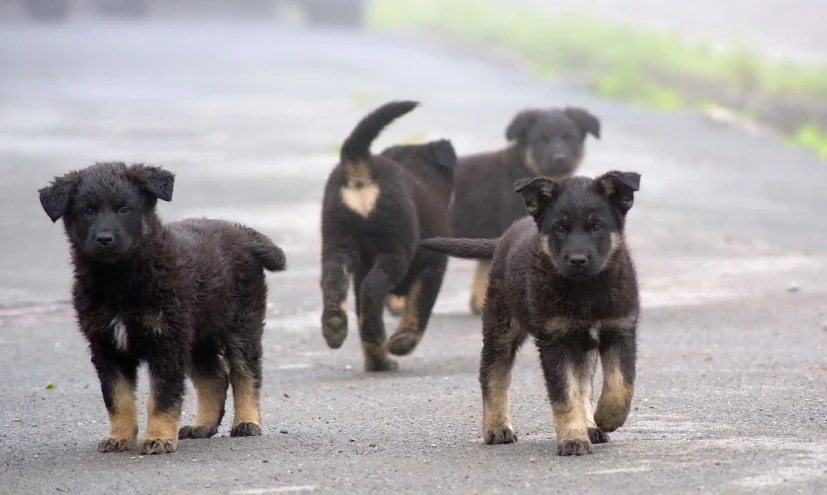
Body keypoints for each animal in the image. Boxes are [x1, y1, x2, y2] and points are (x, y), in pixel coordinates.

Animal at [38, 161, 288, 456]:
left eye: (125, 208)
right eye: (87, 210)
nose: (104, 238)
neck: (120, 280)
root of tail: (241, 232)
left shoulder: (166, 342)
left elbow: (162, 396)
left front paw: (158, 438)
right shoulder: (106, 346)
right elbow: (117, 397)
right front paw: (119, 437)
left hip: (241, 325)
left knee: (245, 373)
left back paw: (247, 422)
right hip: (197, 335)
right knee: (215, 378)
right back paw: (202, 425)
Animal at [318, 101, 460, 372]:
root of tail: (361, 165)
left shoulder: (360, 269)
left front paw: (377, 360)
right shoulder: (433, 267)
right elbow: (419, 308)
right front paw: (402, 342)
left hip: (337, 241)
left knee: (335, 282)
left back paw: (336, 326)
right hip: (394, 248)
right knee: (373, 289)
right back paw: (379, 340)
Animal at [420, 170, 640, 458]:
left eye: (597, 226)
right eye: (559, 228)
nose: (577, 260)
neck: (585, 291)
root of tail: (504, 237)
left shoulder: (620, 329)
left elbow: (620, 383)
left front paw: (604, 418)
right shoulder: (554, 340)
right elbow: (564, 395)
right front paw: (573, 439)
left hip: (580, 346)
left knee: (583, 383)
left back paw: (590, 425)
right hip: (501, 326)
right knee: (493, 373)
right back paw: (497, 427)